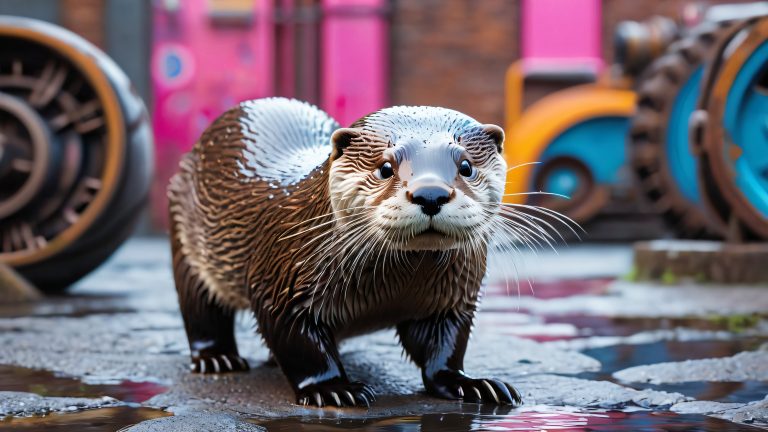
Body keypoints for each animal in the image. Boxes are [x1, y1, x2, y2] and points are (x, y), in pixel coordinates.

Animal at [168, 97, 522, 407]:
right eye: (385, 167)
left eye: (466, 166)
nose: (431, 193)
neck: (389, 293)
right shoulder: (281, 280)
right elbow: (300, 345)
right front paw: (333, 389)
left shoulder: (453, 295)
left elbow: (445, 346)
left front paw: (470, 383)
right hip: (184, 237)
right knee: (199, 309)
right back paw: (217, 358)